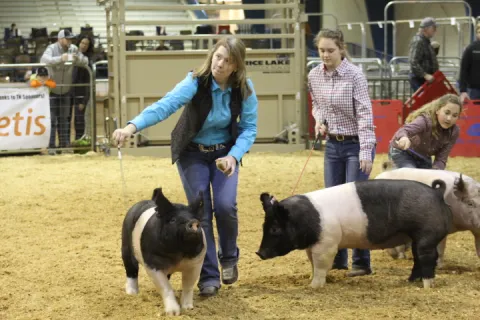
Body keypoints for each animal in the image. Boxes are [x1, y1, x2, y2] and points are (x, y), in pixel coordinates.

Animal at [255, 179, 458, 288]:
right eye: (264, 225)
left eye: (275, 229)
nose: (259, 252)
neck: (307, 220)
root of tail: (437, 194)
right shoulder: (313, 246)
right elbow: (313, 264)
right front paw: (313, 280)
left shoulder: (327, 244)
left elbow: (320, 265)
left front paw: (313, 286)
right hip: (416, 238)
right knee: (417, 259)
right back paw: (410, 281)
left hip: (426, 234)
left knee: (427, 258)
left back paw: (427, 286)